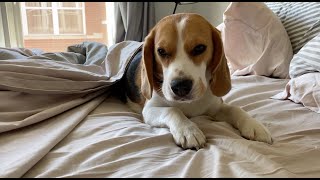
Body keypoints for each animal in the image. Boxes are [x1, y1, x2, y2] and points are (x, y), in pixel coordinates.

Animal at [122, 13, 272, 150]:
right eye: (161, 51)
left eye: (199, 48)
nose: (180, 86)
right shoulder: (149, 110)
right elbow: (172, 110)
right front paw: (188, 131)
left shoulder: (215, 108)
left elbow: (235, 109)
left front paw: (254, 125)